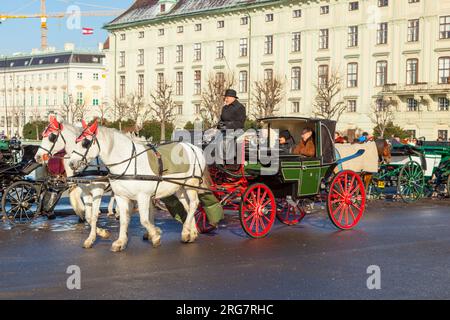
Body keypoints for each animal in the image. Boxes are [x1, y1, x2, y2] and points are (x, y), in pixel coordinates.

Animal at [35, 116, 112, 249]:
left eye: (51, 137)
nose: (38, 157)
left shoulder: (96, 188)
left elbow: (91, 213)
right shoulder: (79, 186)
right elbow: (88, 214)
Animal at [67, 120, 210, 252]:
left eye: (85, 143)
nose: (71, 164)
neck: (128, 163)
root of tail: (194, 148)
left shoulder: (143, 196)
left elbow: (144, 219)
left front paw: (155, 235)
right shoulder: (120, 196)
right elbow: (123, 219)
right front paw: (120, 241)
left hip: (191, 184)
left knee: (194, 204)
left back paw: (185, 232)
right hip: (179, 188)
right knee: (188, 206)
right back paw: (192, 233)